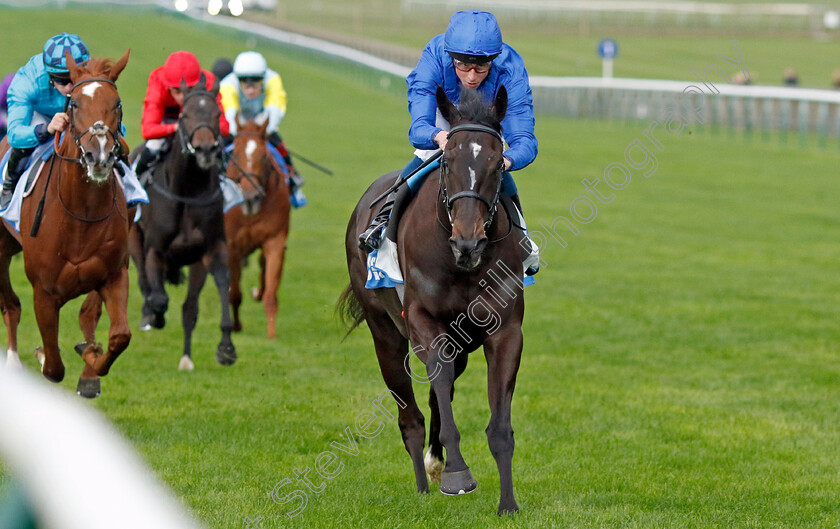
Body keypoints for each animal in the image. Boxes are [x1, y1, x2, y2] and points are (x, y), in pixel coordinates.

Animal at [0, 49, 133, 396]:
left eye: (117, 104)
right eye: (74, 104)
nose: (99, 155)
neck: (81, 214)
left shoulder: (115, 274)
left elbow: (119, 336)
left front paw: (90, 359)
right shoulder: (44, 293)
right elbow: (53, 368)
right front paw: (44, 354)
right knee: (11, 305)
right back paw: (14, 362)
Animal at [130, 76, 238, 370]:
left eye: (217, 114)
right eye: (185, 115)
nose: (205, 149)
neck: (187, 190)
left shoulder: (211, 249)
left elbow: (222, 285)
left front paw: (226, 347)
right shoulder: (155, 249)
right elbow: (158, 297)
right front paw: (154, 316)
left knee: (189, 308)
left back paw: (186, 359)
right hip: (133, 241)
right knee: (145, 283)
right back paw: (149, 317)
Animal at [225, 116, 290, 338]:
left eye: (263, 156)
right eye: (235, 155)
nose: (250, 197)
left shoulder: (275, 240)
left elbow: (271, 293)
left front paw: (271, 334)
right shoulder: (232, 245)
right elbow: (234, 293)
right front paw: (235, 326)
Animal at [340, 85, 524, 512]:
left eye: (497, 163)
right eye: (449, 161)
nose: (468, 243)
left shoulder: (505, 331)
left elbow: (499, 425)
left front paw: (508, 504)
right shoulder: (424, 322)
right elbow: (437, 387)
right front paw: (457, 474)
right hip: (385, 333)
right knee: (410, 417)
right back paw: (423, 485)